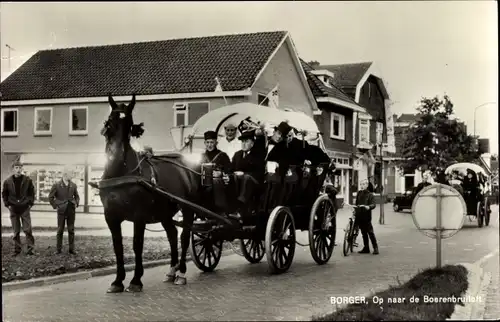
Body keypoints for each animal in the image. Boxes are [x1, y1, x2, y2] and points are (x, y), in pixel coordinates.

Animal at [96, 93, 200, 292]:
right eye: (111, 121)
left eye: (129, 124)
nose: (115, 155)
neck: (120, 172)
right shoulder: (111, 216)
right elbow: (118, 246)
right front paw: (117, 281)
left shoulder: (139, 216)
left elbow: (137, 244)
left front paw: (136, 280)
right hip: (165, 212)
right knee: (172, 235)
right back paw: (171, 271)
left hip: (188, 208)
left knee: (184, 237)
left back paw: (181, 273)